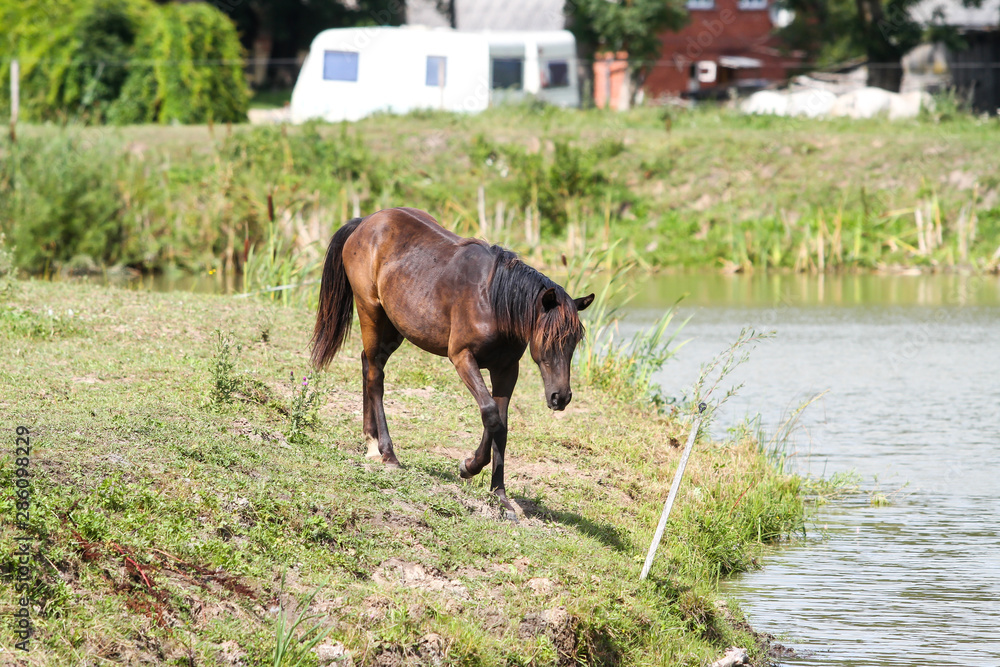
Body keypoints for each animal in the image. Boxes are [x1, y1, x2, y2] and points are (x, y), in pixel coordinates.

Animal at [311, 207, 593, 511]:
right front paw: (469, 466)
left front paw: (500, 495)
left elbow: (501, 425)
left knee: (369, 365)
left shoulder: (507, 369)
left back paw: (372, 443)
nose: (560, 397)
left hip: (393, 327)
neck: (493, 301)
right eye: (550, 337)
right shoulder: (462, 358)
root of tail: (365, 222)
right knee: (375, 377)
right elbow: (490, 413)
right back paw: (388, 454)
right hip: (370, 312)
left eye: (575, 341)